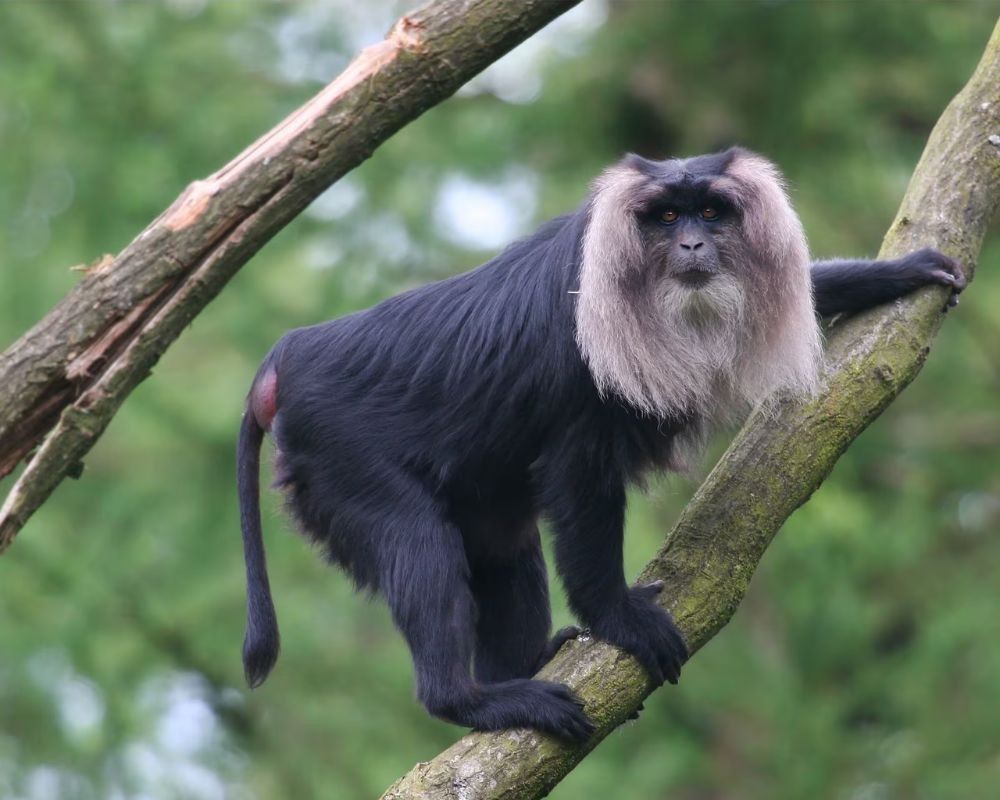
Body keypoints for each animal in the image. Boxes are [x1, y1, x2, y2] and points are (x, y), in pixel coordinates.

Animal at [236, 147, 964, 743]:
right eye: (666, 217)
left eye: (710, 212)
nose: (693, 244)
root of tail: (287, 357)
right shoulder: (581, 396)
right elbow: (580, 494)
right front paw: (618, 618)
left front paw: (895, 273)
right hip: (345, 459)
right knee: (421, 547)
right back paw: (471, 701)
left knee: (502, 544)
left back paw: (523, 666)